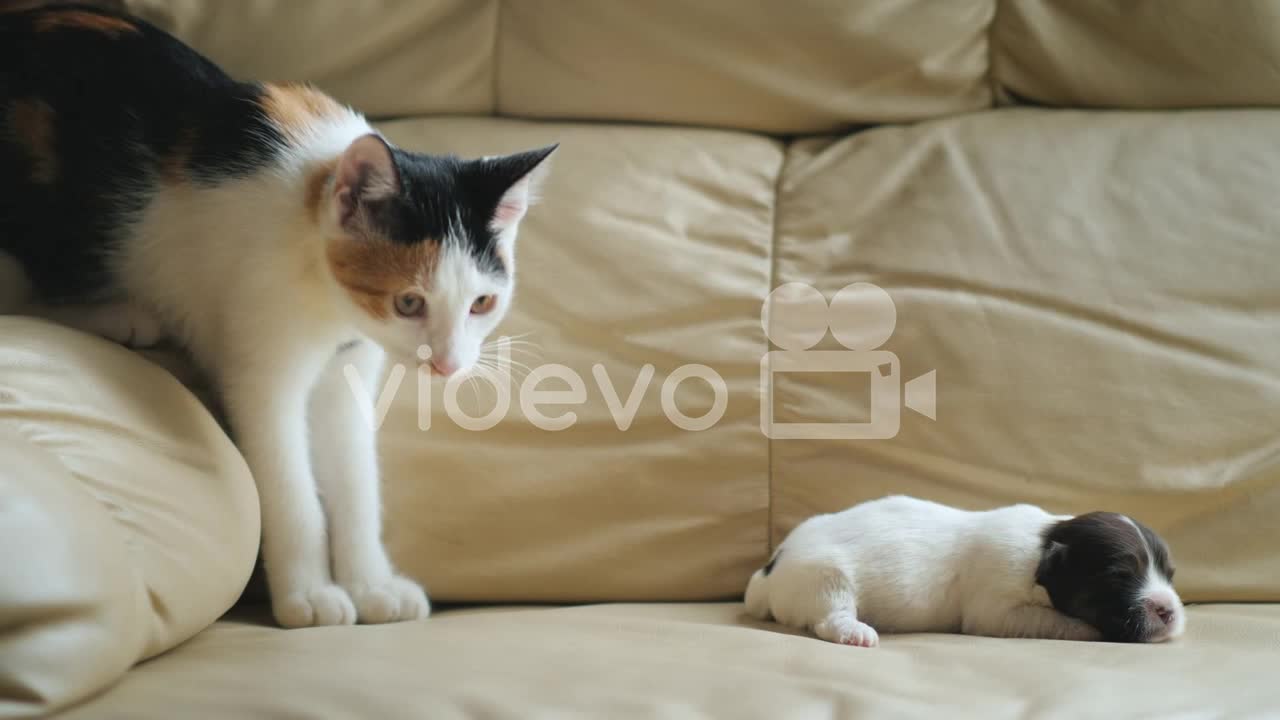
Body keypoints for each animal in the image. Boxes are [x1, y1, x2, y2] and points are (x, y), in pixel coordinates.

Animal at [2, 4, 558, 622]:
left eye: (482, 303)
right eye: (409, 301)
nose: (448, 365)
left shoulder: (349, 372)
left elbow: (357, 482)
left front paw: (372, 586)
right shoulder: (259, 365)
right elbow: (290, 487)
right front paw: (310, 596)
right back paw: (121, 314)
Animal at [747, 491, 1182, 645]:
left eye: (1170, 574)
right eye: (1118, 577)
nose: (1169, 611)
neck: (1042, 548)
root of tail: (770, 569)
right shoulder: (997, 609)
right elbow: (1059, 621)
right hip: (824, 578)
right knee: (829, 616)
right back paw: (855, 633)